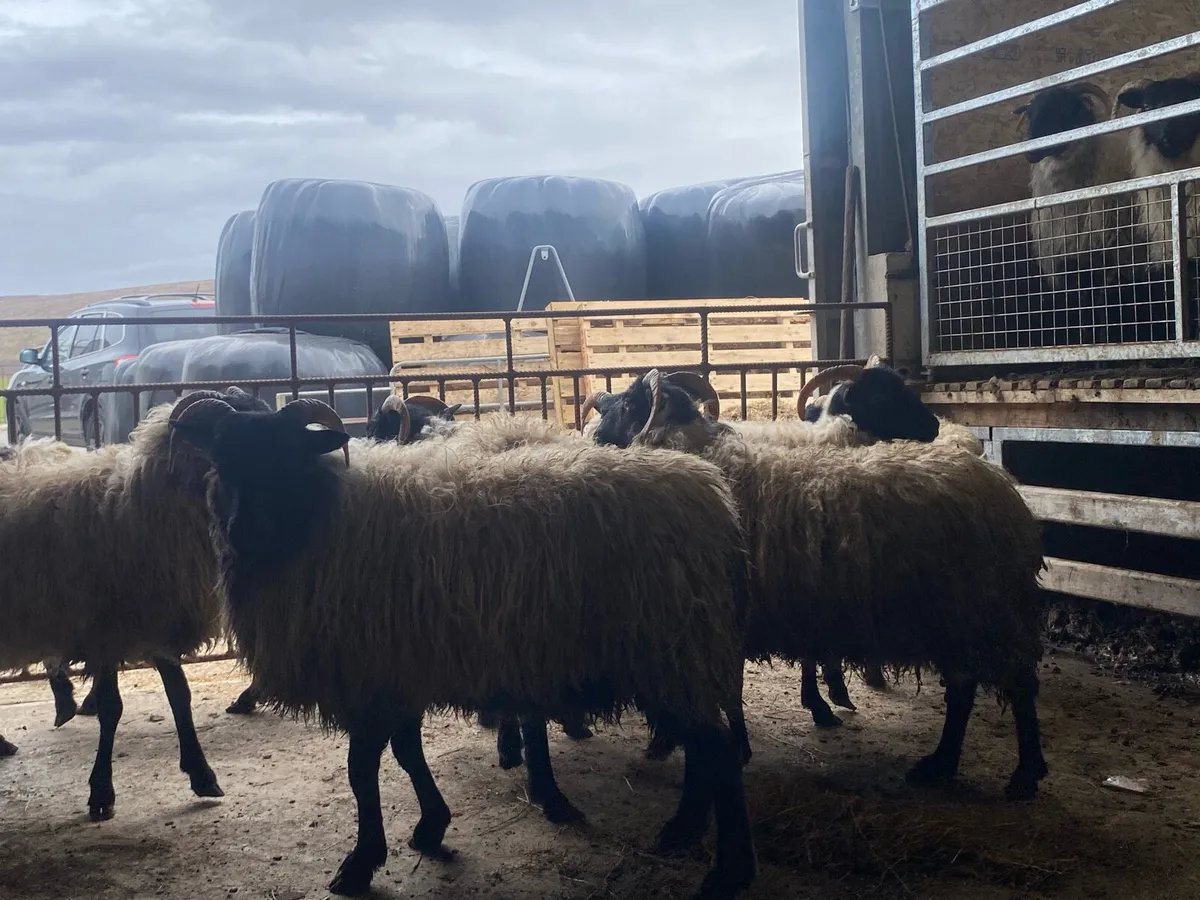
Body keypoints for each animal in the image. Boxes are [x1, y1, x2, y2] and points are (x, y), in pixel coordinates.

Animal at [0, 387, 272, 819]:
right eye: (228, 437)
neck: (137, 504)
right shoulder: (106, 630)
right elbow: (113, 708)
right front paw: (101, 793)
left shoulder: (157, 617)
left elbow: (180, 697)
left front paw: (202, 775)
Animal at [169, 396, 758, 899]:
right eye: (221, 459)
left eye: (285, 457)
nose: (243, 531)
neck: (325, 519)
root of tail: (711, 497)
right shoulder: (401, 673)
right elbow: (406, 754)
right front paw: (431, 826)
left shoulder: (372, 674)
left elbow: (362, 770)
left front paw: (360, 863)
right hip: (674, 656)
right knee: (706, 749)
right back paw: (683, 833)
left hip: (668, 650)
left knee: (718, 751)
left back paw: (728, 871)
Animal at [588, 370, 1049, 801]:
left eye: (627, 405)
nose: (593, 435)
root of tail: (1004, 492)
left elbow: (726, 686)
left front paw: (704, 744)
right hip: (960, 617)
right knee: (963, 690)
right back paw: (939, 764)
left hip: (989, 611)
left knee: (1019, 686)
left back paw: (1024, 775)